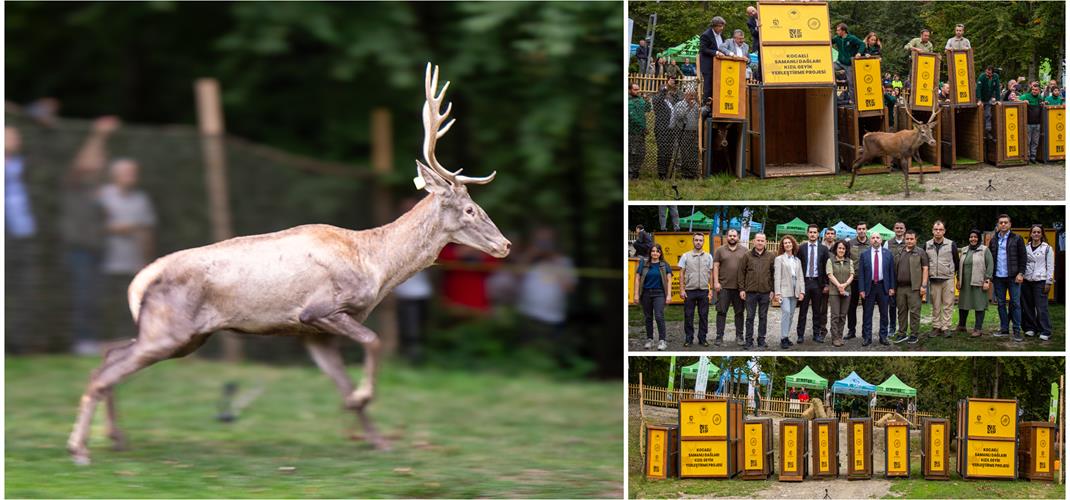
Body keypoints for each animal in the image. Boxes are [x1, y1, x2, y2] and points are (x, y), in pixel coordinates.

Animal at [66, 63, 509, 466]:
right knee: (102, 372)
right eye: (470, 209)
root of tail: (138, 282)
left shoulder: (312, 334)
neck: (374, 265)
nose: (504, 244)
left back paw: (116, 439)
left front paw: (376, 438)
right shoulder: (320, 310)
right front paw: (365, 399)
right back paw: (80, 449)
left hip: (181, 336)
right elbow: (374, 341)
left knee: (109, 354)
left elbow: (343, 383)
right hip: (171, 330)